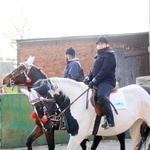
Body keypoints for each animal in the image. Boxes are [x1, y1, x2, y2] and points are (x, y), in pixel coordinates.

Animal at [22, 77, 150, 150]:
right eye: (33, 106)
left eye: (39, 106)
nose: (47, 126)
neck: (74, 102)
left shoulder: (77, 135)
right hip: (135, 125)